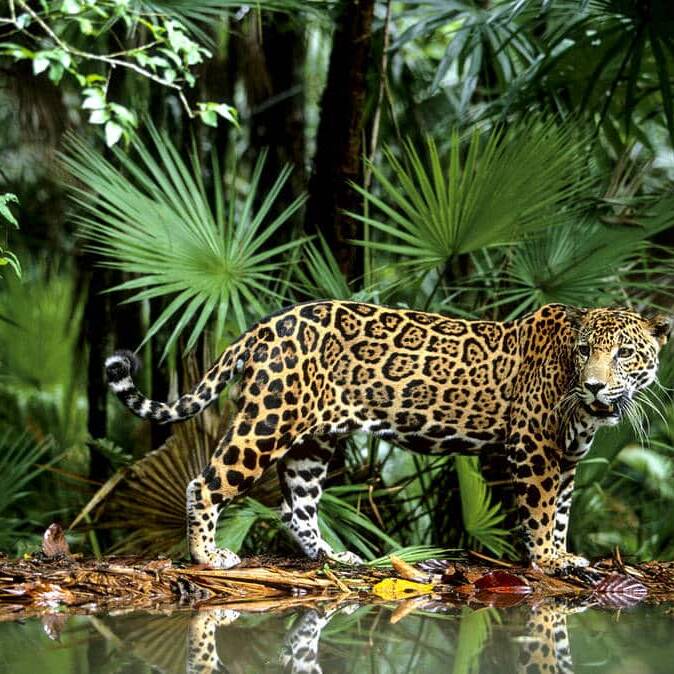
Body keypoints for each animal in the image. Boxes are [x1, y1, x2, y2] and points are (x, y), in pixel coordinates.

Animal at [105, 300, 672, 573]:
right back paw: (208, 556)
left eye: (624, 353)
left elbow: (562, 513)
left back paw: (332, 557)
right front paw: (550, 561)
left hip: (313, 442)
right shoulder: (534, 448)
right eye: (584, 350)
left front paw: (563, 553)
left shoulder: (568, 458)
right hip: (269, 421)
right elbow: (540, 512)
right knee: (205, 483)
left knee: (296, 507)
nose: (594, 384)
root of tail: (268, 324)